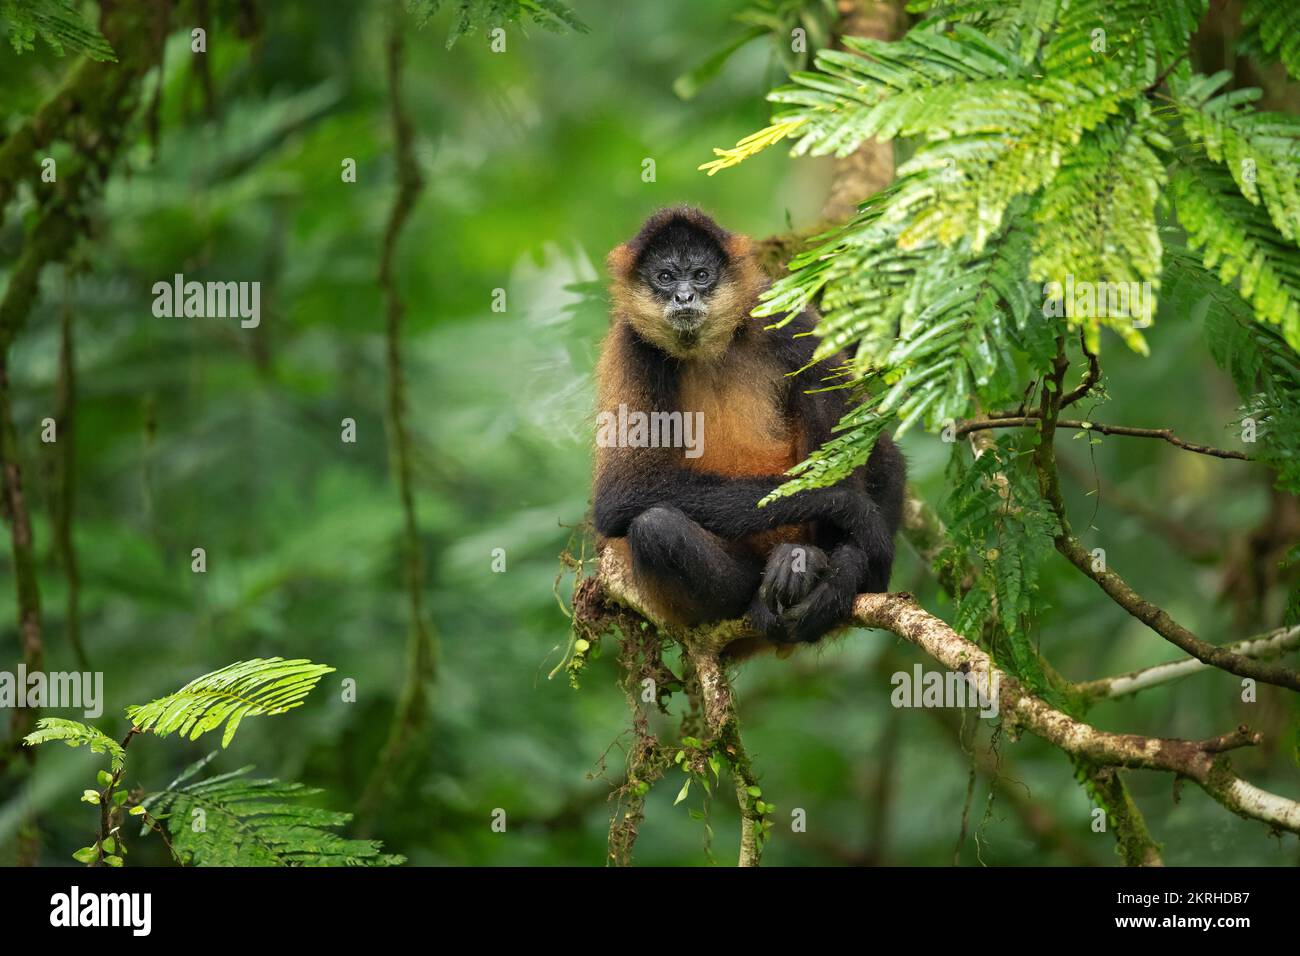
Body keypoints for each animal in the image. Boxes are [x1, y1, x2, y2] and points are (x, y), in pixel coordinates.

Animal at [592, 208, 904, 658]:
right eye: (665, 277)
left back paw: (820, 564)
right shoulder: (631, 346)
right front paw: (851, 508)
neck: (705, 350)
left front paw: (850, 567)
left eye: (701, 274)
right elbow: (621, 495)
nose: (684, 297)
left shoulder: (777, 312)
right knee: (655, 527)